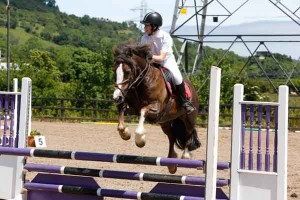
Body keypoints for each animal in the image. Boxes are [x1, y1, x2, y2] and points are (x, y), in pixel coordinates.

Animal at [111, 41, 200, 173]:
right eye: (114, 71)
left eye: (127, 71)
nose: (117, 97)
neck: (144, 81)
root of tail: (193, 88)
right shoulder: (132, 108)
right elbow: (122, 112)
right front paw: (125, 134)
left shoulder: (155, 108)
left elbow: (143, 111)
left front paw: (140, 140)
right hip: (165, 122)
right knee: (172, 137)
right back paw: (172, 163)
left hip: (188, 118)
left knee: (188, 132)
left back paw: (185, 156)